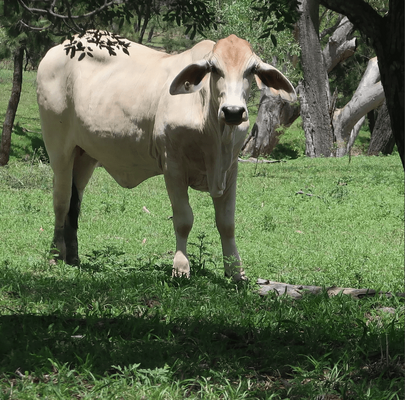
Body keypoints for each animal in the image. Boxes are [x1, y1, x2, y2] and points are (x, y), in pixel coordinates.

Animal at [38, 32, 296, 280]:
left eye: (251, 70)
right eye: (214, 68)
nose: (233, 111)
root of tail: (57, 49)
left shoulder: (230, 169)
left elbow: (227, 223)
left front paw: (235, 272)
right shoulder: (173, 166)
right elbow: (183, 220)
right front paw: (181, 268)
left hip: (85, 154)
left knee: (75, 202)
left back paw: (73, 257)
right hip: (59, 148)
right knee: (61, 201)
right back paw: (54, 255)